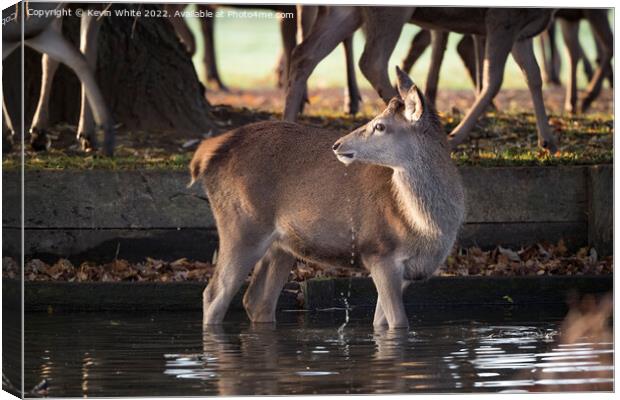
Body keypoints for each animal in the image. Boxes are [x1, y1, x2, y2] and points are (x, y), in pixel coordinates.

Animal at [189, 67, 464, 328]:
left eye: (380, 126)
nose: (337, 144)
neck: (425, 228)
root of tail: (205, 155)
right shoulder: (379, 253)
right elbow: (399, 323)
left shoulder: (408, 272)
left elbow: (381, 323)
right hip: (242, 223)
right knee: (214, 294)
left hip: (280, 244)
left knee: (256, 299)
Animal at [286, 7, 560, 155]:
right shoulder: (502, 18)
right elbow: (494, 80)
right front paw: (455, 136)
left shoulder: (521, 31)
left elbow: (533, 75)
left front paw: (549, 141)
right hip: (388, 12)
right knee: (371, 60)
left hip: (345, 11)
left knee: (303, 54)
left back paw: (287, 124)